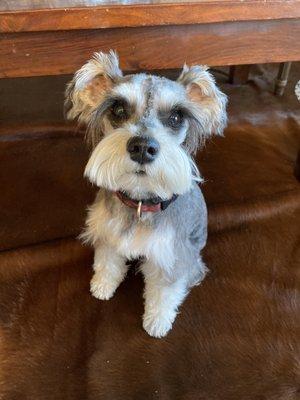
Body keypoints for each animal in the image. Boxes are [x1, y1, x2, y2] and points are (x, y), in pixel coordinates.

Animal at [63, 50, 227, 338]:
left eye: (176, 117)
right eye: (118, 109)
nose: (142, 147)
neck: (140, 200)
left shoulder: (172, 257)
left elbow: (164, 292)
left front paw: (157, 322)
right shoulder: (107, 233)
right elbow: (107, 262)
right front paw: (102, 285)